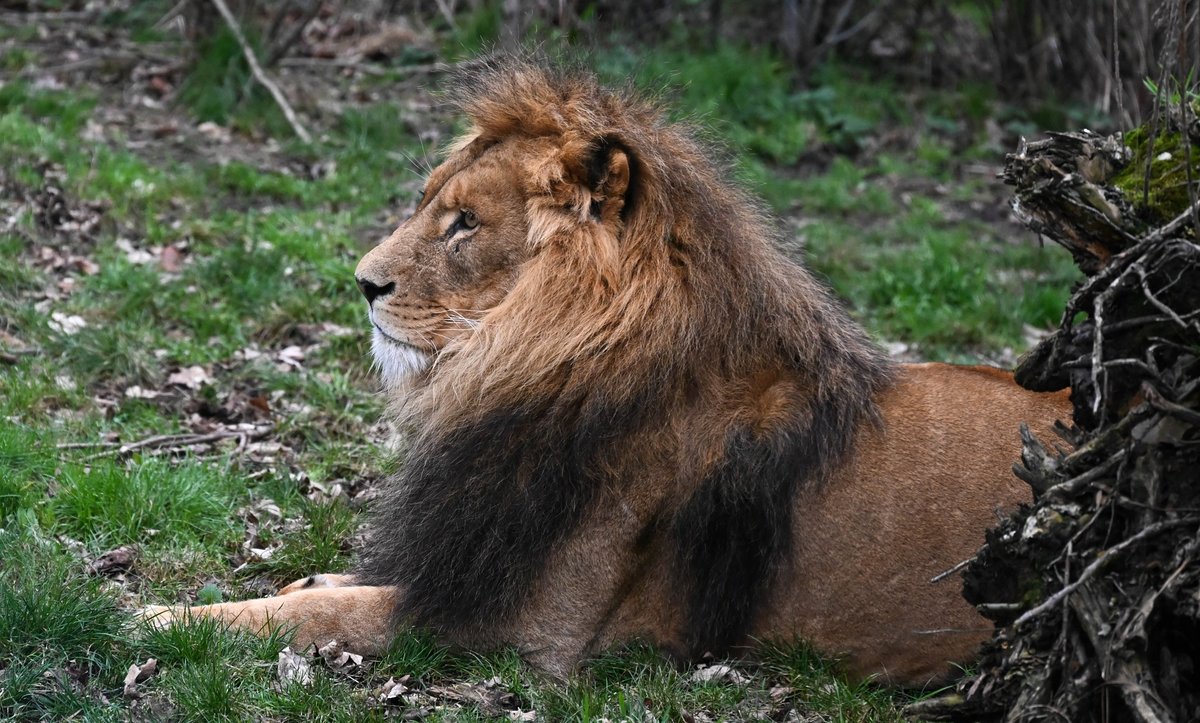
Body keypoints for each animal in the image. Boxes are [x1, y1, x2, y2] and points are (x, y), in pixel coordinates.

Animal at [144, 57, 1071, 686]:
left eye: (465, 223)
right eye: (428, 203)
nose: (363, 282)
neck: (532, 367)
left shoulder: (530, 631)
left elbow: (321, 609)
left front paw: (160, 614)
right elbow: (338, 583)